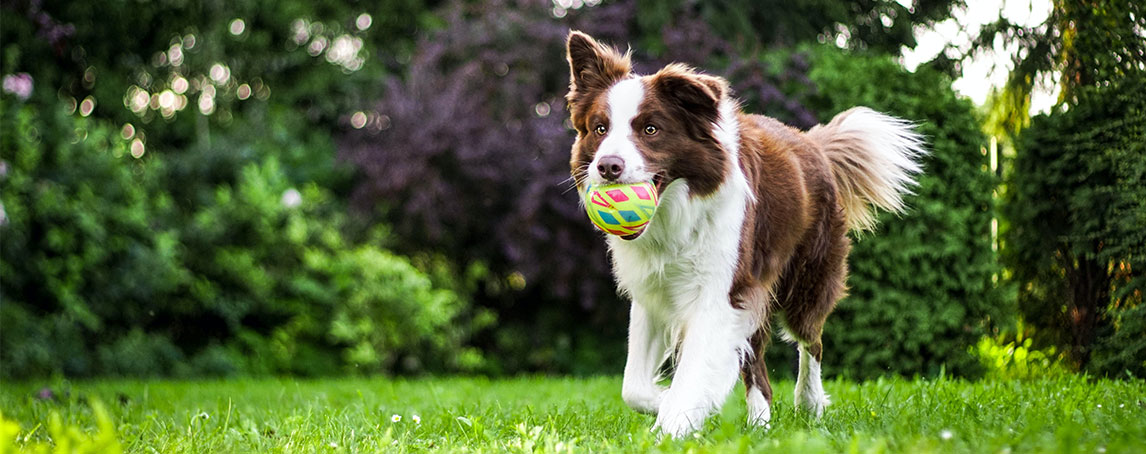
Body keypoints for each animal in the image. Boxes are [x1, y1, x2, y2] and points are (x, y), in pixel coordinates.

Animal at [566, 31, 930, 435]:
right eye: (600, 129)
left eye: (650, 129)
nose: (607, 166)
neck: (675, 214)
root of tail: (813, 143)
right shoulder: (654, 292)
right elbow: (633, 387)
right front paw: (670, 404)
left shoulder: (721, 291)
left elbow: (694, 370)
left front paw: (673, 424)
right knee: (758, 367)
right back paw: (760, 424)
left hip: (806, 279)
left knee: (811, 341)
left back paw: (809, 403)